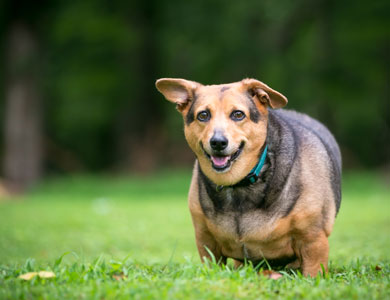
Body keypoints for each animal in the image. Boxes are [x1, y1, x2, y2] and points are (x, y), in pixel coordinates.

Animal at [155, 78, 342, 276]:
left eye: (238, 114)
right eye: (203, 115)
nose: (218, 142)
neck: (238, 184)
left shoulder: (313, 241)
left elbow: (312, 274)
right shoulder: (206, 242)